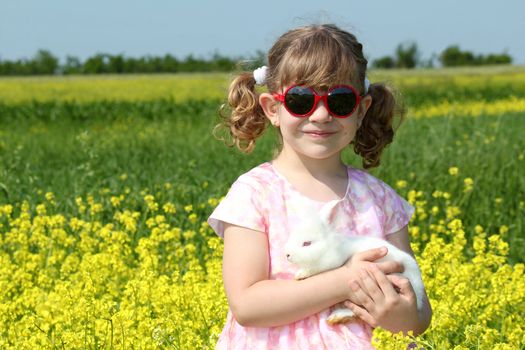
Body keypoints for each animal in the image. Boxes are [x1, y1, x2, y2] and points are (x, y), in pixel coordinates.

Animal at [284, 201, 424, 324]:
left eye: (307, 243)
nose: (287, 254)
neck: (327, 247)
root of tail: (418, 299)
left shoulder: (332, 261)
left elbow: (315, 268)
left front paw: (300, 274)